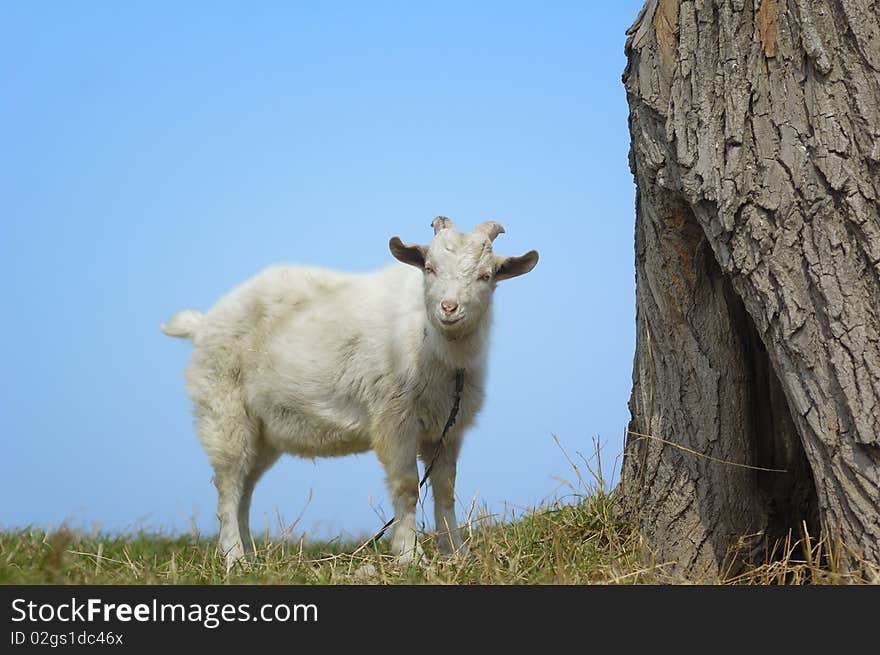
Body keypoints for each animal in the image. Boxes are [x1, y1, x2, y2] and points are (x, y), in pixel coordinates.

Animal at [162, 218, 540, 568]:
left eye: (486, 276)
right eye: (430, 268)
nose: (448, 308)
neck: (432, 344)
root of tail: (202, 324)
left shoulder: (447, 429)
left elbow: (445, 490)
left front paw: (456, 554)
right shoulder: (394, 419)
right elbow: (407, 486)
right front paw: (410, 557)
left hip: (262, 433)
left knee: (246, 488)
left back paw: (251, 559)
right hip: (224, 412)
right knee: (228, 484)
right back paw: (233, 557)